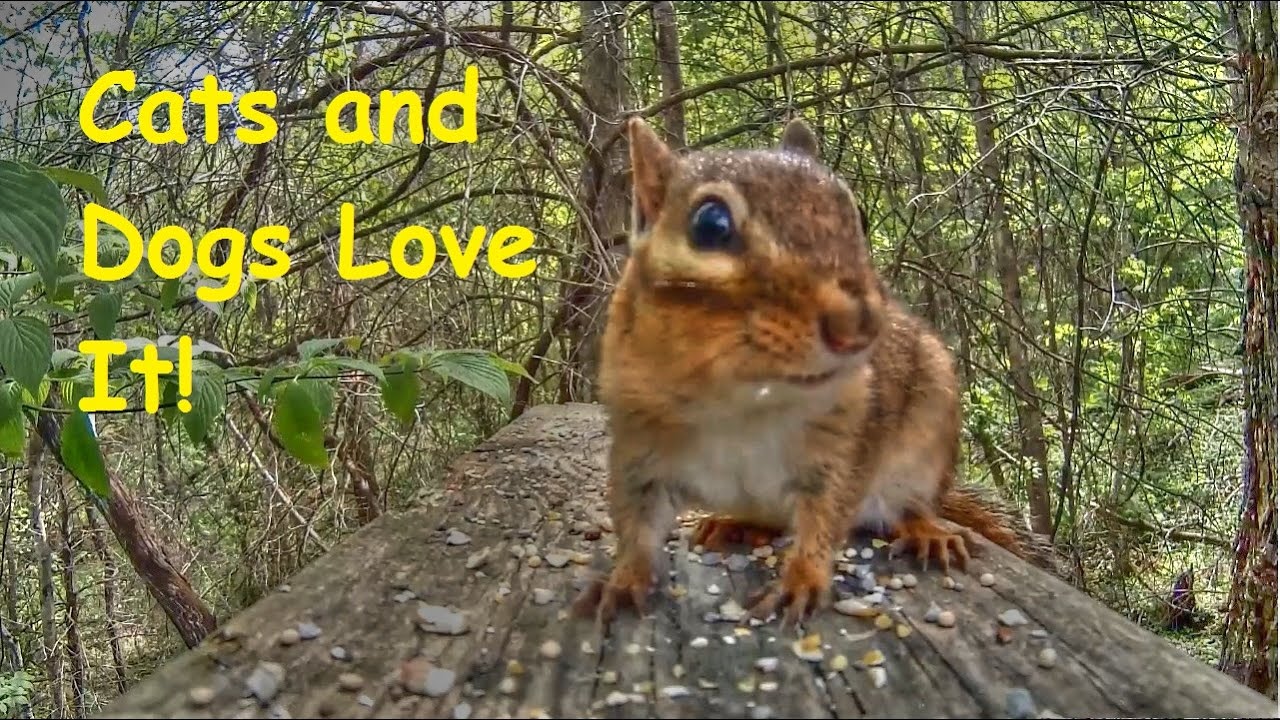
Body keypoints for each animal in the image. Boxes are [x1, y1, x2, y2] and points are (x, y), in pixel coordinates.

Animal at [572, 116, 1059, 627]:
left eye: (856, 214)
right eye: (710, 224)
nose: (858, 323)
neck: (739, 395)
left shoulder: (845, 445)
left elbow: (826, 517)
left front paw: (802, 579)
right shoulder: (637, 442)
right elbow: (636, 523)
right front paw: (623, 580)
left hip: (928, 438)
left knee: (909, 504)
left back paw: (927, 529)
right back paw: (737, 524)